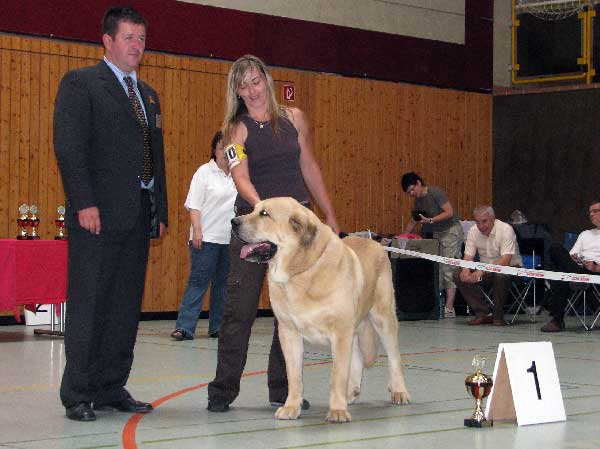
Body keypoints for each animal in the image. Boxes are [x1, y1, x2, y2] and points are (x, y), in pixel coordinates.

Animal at [232, 198, 410, 422]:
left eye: (265, 214)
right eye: (254, 209)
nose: (233, 222)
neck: (302, 271)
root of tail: (374, 241)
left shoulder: (340, 332)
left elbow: (337, 375)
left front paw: (337, 411)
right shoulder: (289, 333)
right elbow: (294, 377)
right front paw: (291, 407)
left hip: (383, 318)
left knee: (394, 358)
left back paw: (399, 391)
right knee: (358, 356)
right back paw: (351, 392)